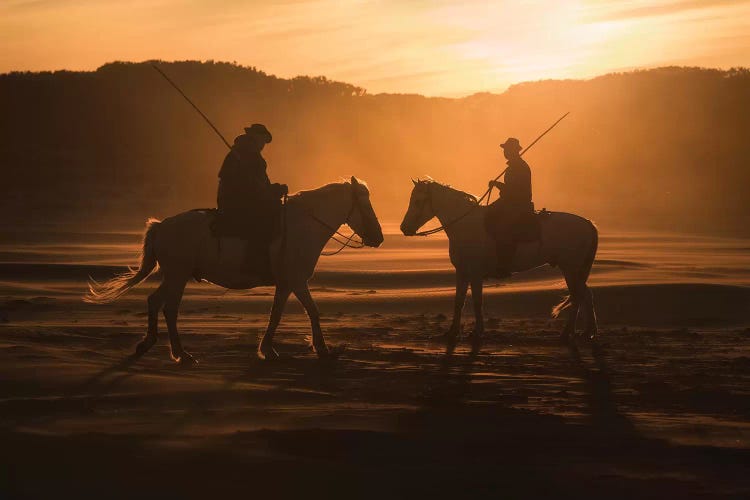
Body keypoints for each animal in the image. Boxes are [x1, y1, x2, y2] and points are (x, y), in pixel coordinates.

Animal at [85, 178, 384, 366]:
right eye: (365, 205)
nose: (379, 237)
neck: (303, 225)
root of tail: (161, 226)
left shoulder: (287, 283)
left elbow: (282, 314)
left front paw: (272, 349)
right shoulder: (295, 281)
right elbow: (308, 311)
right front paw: (319, 349)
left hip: (173, 275)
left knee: (154, 301)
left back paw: (148, 343)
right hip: (178, 276)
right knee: (169, 309)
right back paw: (182, 354)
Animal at [402, 179, 604, 348]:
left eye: (418, 201)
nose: (404, 228)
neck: (465, 224)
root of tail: (588, 224)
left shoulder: (475, 273)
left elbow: (477, 302)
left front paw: (477, 333)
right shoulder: (462, 272)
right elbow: (459, 301)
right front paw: (452, 332)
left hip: (571, 269)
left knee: (578, 297)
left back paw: (566, 334)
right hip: (575, 271)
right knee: (585, 295)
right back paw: (588, 332)